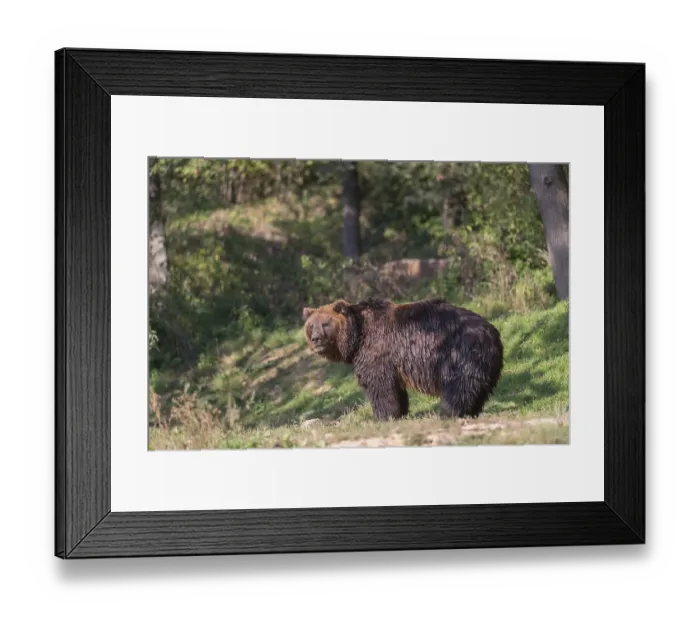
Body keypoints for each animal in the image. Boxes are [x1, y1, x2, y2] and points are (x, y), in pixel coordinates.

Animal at [302, 297, 504, 421]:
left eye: (326, 324)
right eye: (311, 325)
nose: (316, 339)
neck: (357, 337)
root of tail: (491, 332)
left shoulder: (377, 351)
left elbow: (379, 386)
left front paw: (382, 416)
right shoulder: (391, 362)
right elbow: (396, 390)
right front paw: (400, 413)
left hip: (456, 353)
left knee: (459, 386)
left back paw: (449, 411)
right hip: (486, 363)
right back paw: (472, 411)